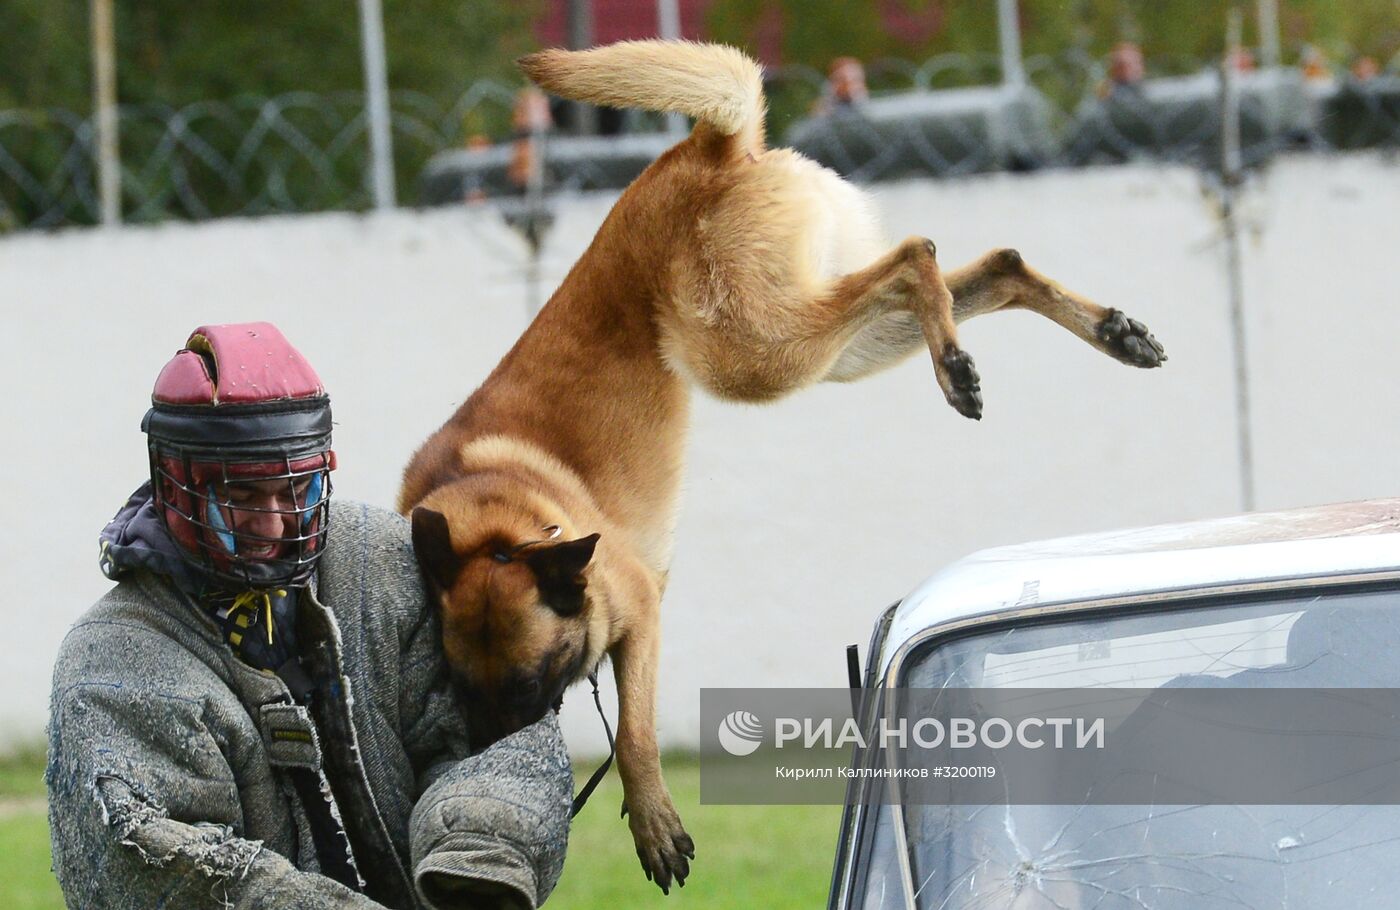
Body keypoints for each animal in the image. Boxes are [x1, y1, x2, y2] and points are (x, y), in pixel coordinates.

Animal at [397, 39, 1159, 890]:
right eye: (465, 691)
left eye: (529, 687)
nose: (482, 763)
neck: (492, 511)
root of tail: (709, 146)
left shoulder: (642, 612)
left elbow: (635, 732)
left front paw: (652, 821)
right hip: (825, 342)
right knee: (995, 263)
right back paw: (1108, 333)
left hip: (751, 351)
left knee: (915, 255)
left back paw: (958, 365)